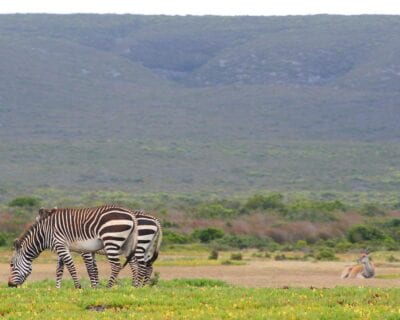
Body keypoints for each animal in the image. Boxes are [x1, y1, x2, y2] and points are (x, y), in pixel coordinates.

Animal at [8, 206, 138, 288]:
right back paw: (135, 286)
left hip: (111, 240)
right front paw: (57, 288)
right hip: (127, 245)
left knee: (117, 266)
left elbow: (73, 267)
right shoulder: (61, 247)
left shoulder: (64, 246)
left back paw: (109, 287)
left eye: (11, 265)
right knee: (135, 265)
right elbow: (59, 269)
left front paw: (80, 287)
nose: (9, 285)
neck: (45, 233)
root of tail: (131, 214)